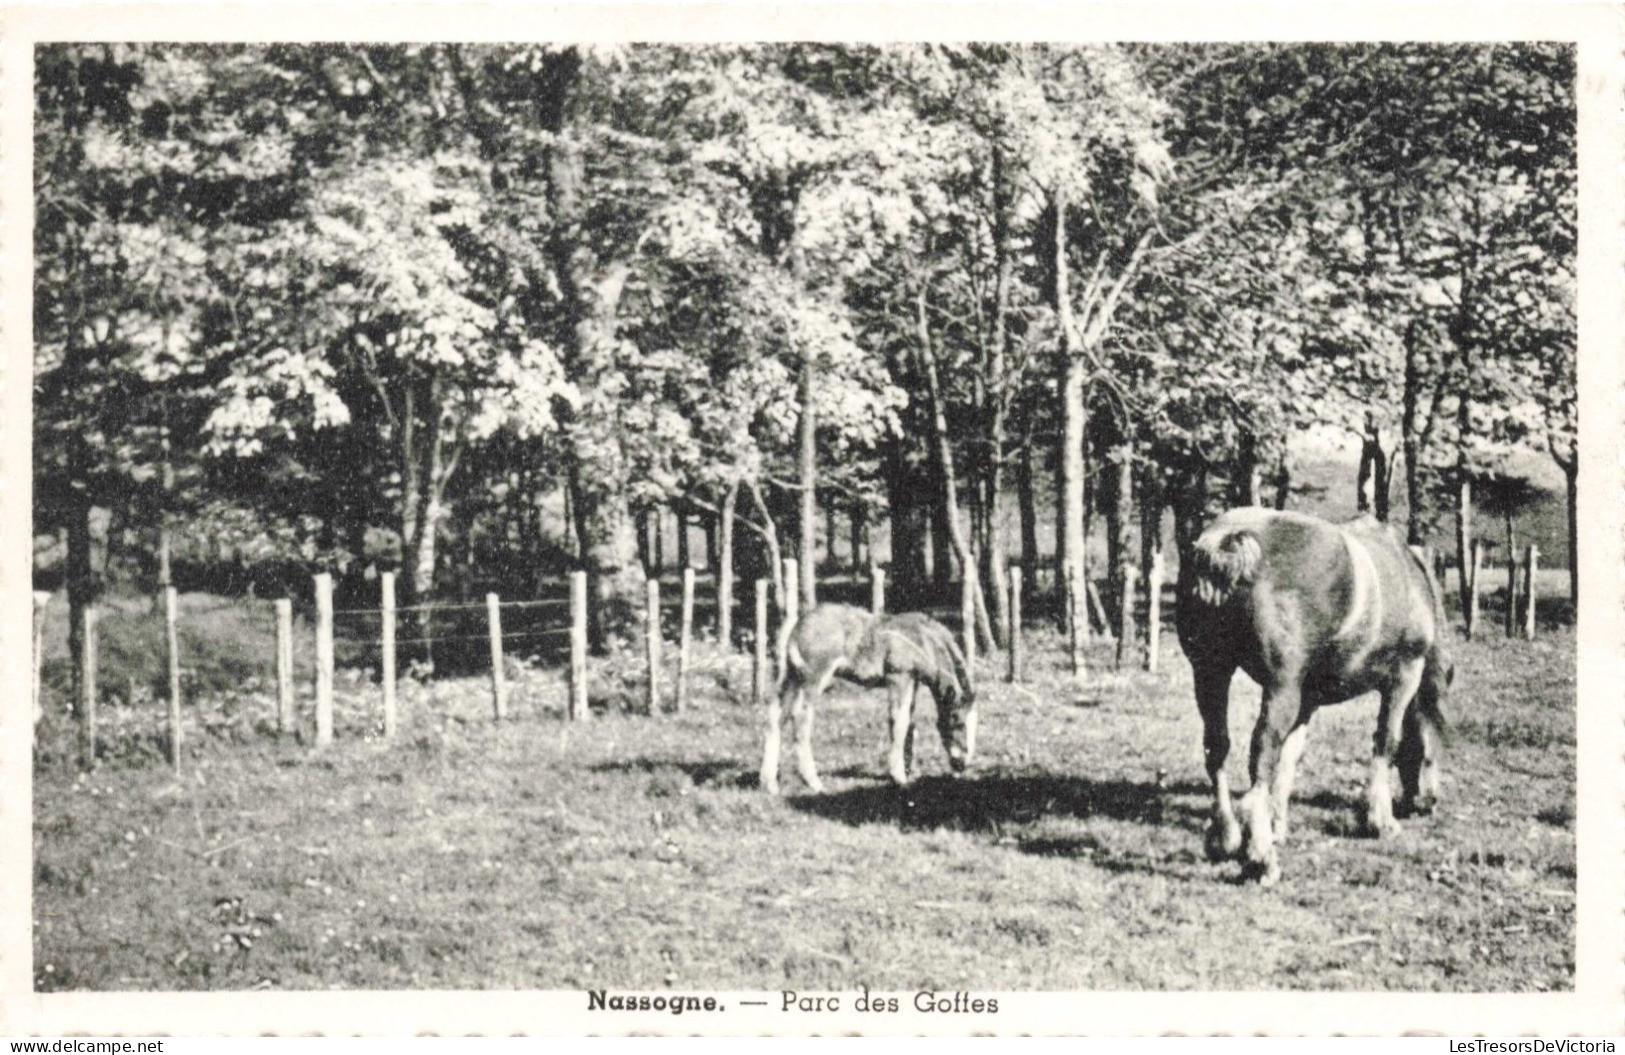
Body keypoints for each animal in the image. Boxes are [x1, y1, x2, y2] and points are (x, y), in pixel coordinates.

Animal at [760, 604, 975, 793]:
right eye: (958, 722)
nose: (962, 764)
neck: (922, 640)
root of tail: (795, 629)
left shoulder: (912, 681)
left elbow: (910, 723)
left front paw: (909, 772)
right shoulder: (898, 676)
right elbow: (899, 721)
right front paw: (899, 778)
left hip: (792, 677)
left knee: (776, 713)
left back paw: (769, 783)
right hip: (814, 676)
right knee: (800, 715)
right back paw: (813, 782)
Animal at [1176, 507, 1456, 884]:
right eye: (1437, 733)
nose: (1429, 803)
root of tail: (1226, 542)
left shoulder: (1305, 700)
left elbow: (1290, 757)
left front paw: (1278, 823)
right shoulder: (1404, 676)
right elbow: (1387, 741)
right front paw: (1380, 821)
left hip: (1210, 673)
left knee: (1216, 749)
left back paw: (1226, 838)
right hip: (1279, 688)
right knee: (1260, 757)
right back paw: (1260, 857)